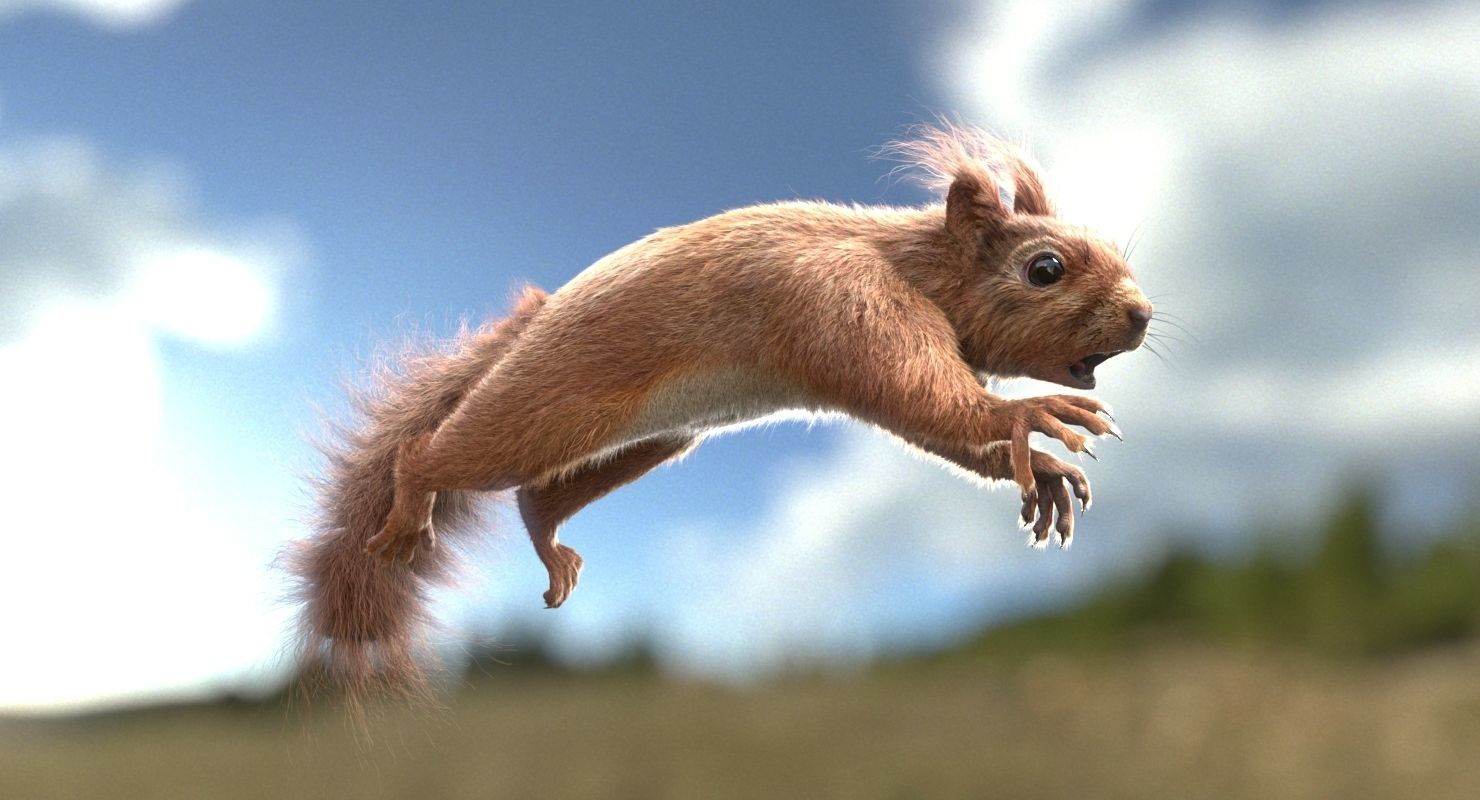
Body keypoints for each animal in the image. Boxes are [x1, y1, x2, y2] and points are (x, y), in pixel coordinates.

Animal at [287, 123, 1152, 704]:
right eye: (1045, 268)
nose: (1142, 314)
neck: (913, 262)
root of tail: (532, 322)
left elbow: (936, 425)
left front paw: (1044, 473)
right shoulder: (849, 307)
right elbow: (926, 396)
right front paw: (1036, 415)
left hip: (647, 440)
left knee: (537, 494)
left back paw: (548, 541)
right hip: (543, 405)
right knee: (438, 454)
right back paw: (408, 512)